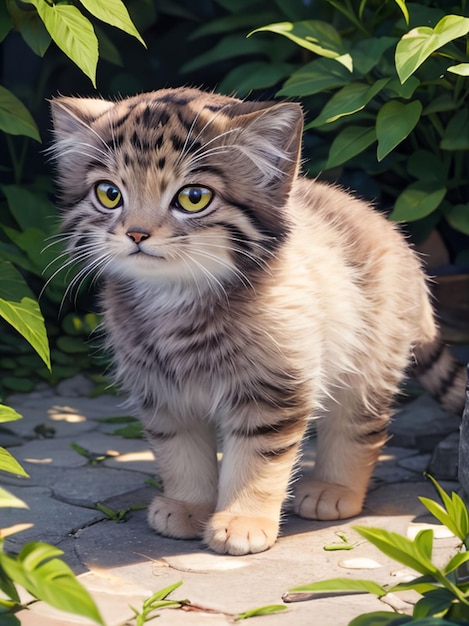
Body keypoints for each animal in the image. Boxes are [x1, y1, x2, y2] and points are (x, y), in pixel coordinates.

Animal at [50, 85, 464, 552]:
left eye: (193, 198)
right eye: (109, 194)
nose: (136, 233)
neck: (176, 296)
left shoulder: (273, 387)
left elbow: (258, 458)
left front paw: (243, 521)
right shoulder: (163, 392)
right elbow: (180, 452)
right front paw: (188, 505)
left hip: (370, 362)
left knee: (358, 425)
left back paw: (334, 489)